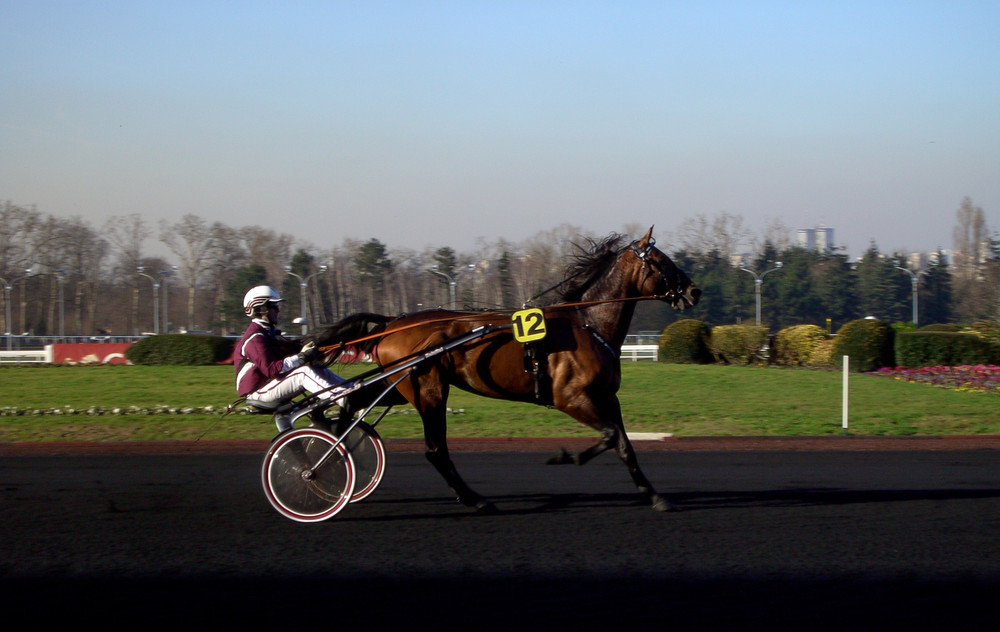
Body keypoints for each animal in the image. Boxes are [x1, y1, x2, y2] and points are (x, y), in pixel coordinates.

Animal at [312, 227, 696, 512]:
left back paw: (332, 448)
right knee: (436, 450)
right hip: (428, 390)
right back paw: (474, 499)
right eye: (662, 261)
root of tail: (393, 321)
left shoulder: (605, 397)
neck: (587, 323)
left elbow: (623, 444)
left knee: (354, 401)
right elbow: (609, 436)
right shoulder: (570, 397)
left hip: (401, 386)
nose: (694, 290)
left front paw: (654, 495)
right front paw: (565, 456)